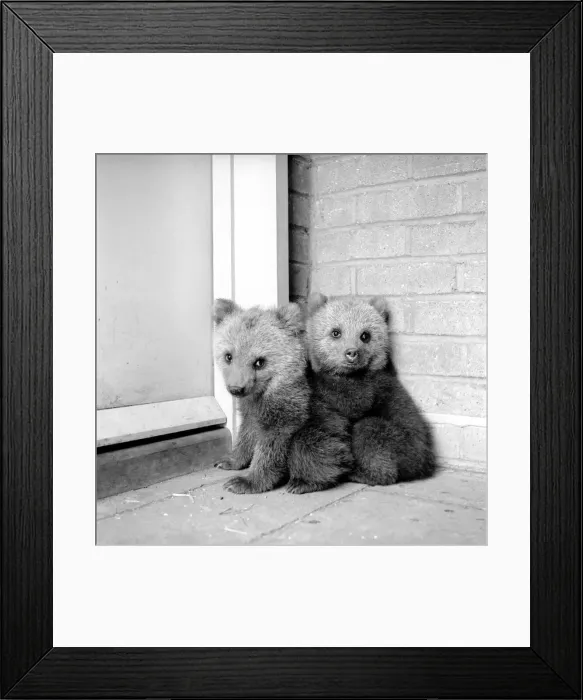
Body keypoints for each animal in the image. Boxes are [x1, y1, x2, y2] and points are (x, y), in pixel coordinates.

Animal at [213, 298, 352, 495]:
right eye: (228, 356)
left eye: (259, 362)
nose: (236, 389)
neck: (262, 393)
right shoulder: (251, 408)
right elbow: (247, 432)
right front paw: (230, 460)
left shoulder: (290, 407)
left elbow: (272, 443)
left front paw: (246, 481)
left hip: (331, 430)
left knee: (311, 446)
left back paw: (302, 482)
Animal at [305, 293, 437, 486]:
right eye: (336, 332)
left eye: (365, 335)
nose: (351, 353)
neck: (351, 374)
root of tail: (424, 466)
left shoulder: (372, 385)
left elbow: (352, 402)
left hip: (407, 445)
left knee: (369, 429)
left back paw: (361, 474)